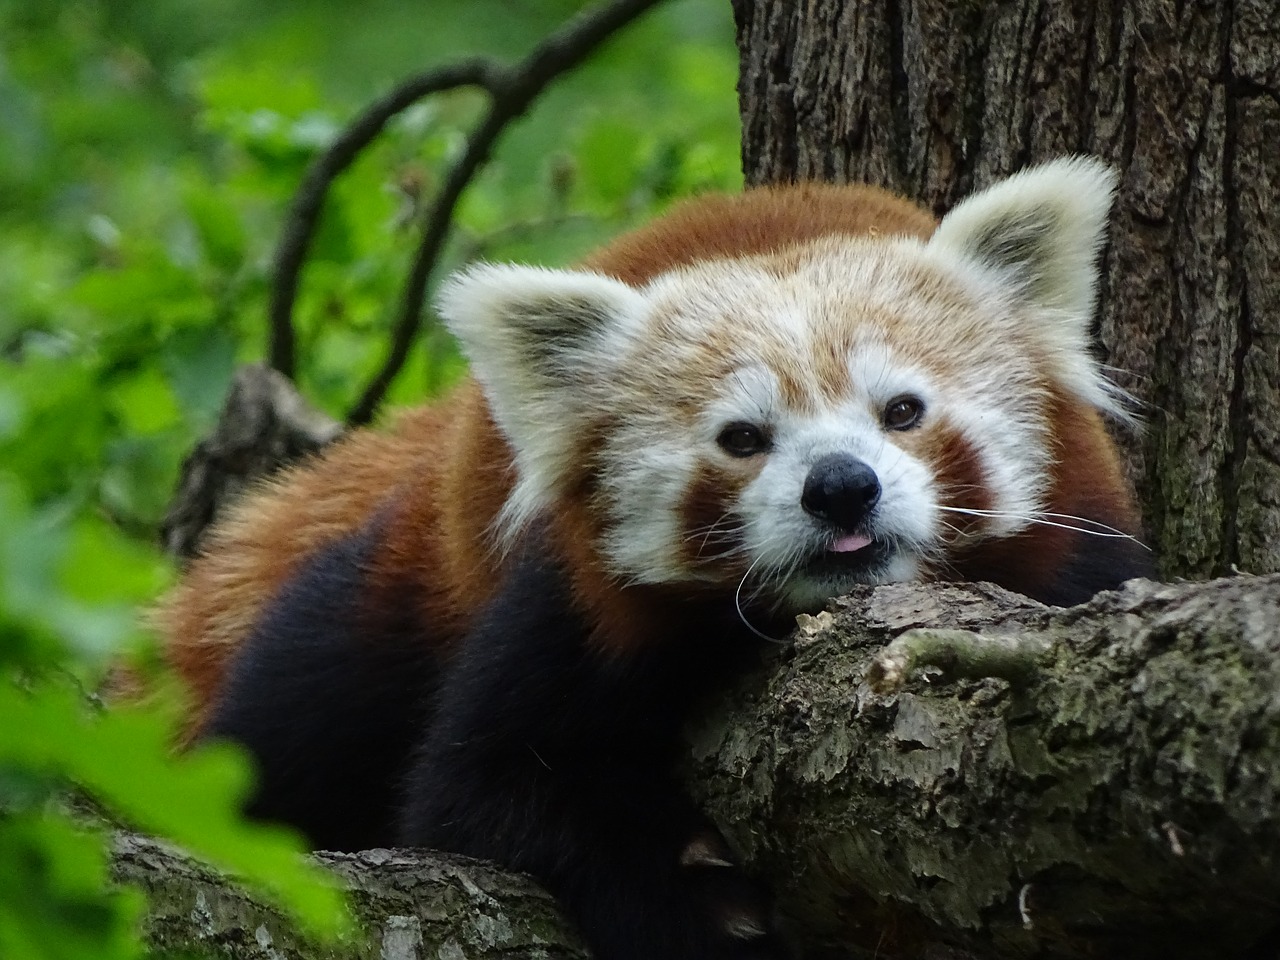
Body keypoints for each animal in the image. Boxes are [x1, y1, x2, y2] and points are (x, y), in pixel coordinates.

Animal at [154, 160, 1157, 960]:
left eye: (903, 410)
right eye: (743, 437)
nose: (841, 488)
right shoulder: (566, 604)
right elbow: (474, 795)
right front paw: (696, 903)